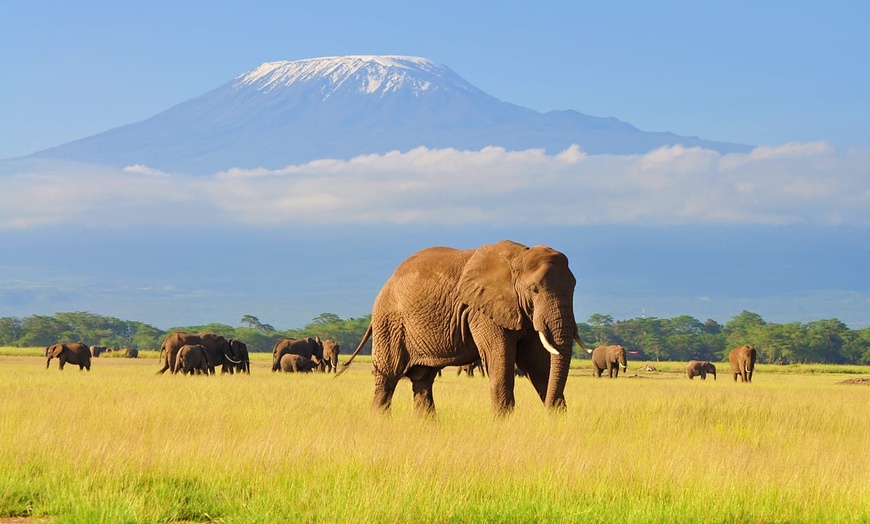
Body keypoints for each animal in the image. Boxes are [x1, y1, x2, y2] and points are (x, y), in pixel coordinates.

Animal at [338, 242, 588, 418]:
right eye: (534, 289)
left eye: (574, 288)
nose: (546, 412)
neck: (519, 256)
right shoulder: (481, 310)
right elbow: (501, 359)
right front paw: (504, 423)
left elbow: (539, 362)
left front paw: (557, 420)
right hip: (390, 323)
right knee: (388, 377)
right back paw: (380, 422)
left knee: (422, 380)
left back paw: (428, 426)